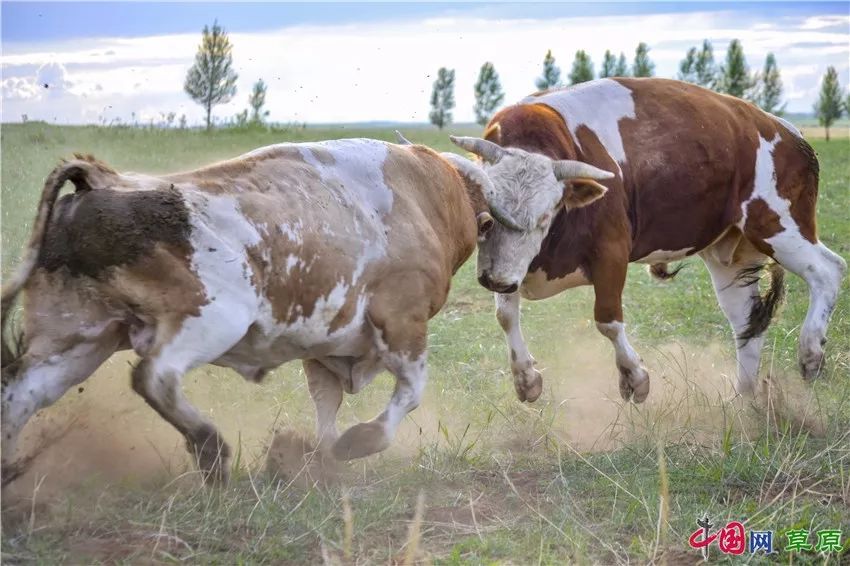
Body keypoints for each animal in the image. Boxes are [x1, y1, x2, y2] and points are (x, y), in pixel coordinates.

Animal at [0, 135, 608, 486]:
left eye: (549, 212)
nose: (503, 278)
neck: (430, 190)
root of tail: (102, 184)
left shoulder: (327, 346)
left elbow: (325, 404)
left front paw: (318, 457)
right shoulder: (402, 325)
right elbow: (408, 394)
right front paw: (360, 443)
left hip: (75, 339)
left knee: (19, 397)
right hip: (206, 321)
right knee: (156, 377)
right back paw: (211, 450)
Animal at [450, 79, 840, 404]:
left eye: (546, 216)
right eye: (487, 215)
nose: (495, 281)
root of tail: (788, 132)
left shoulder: (611, 252)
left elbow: (607, 320)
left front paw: (634, 377)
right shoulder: (508, 264)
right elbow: (505, 315)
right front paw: (526, 378)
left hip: (777, 225)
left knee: (828, 270)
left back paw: (810, 351)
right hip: (729, 255)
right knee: (747, 321)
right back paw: (742, 400)